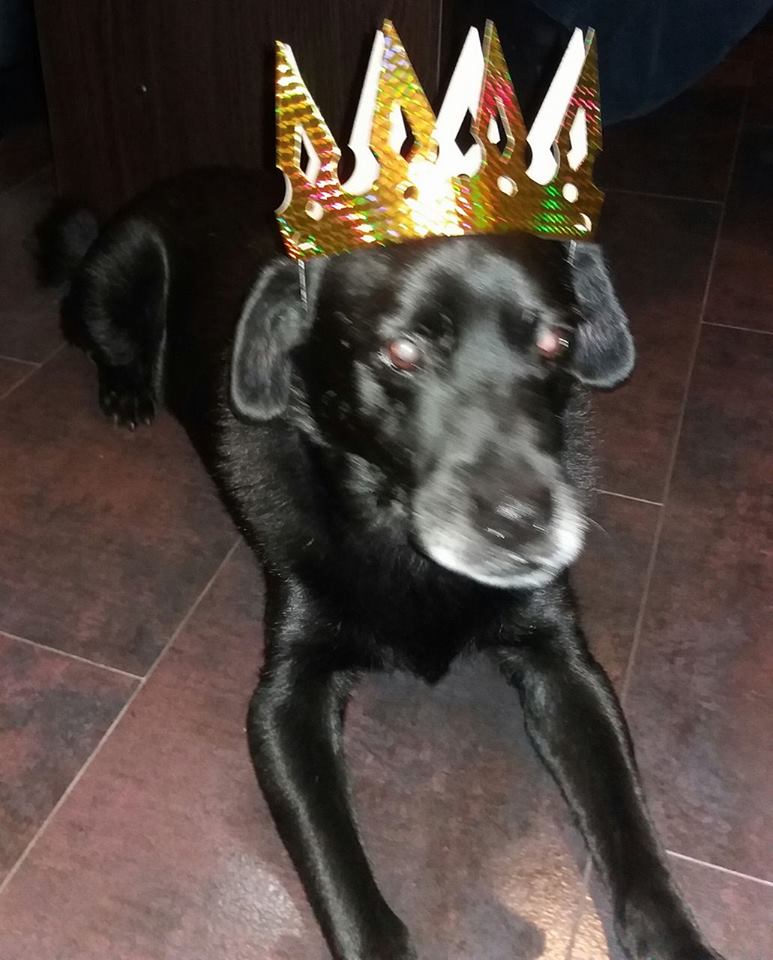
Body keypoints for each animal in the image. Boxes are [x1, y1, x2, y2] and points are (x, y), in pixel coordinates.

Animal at [38, 166, 725, 960]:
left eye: (557, 341)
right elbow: (342, 878)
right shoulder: (286, 697)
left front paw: (677, 939)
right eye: (402, 353)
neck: (399, 537)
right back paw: (125, 387)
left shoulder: (564, 664)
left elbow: (629, 827)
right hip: (114, 281)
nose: (521, 525)